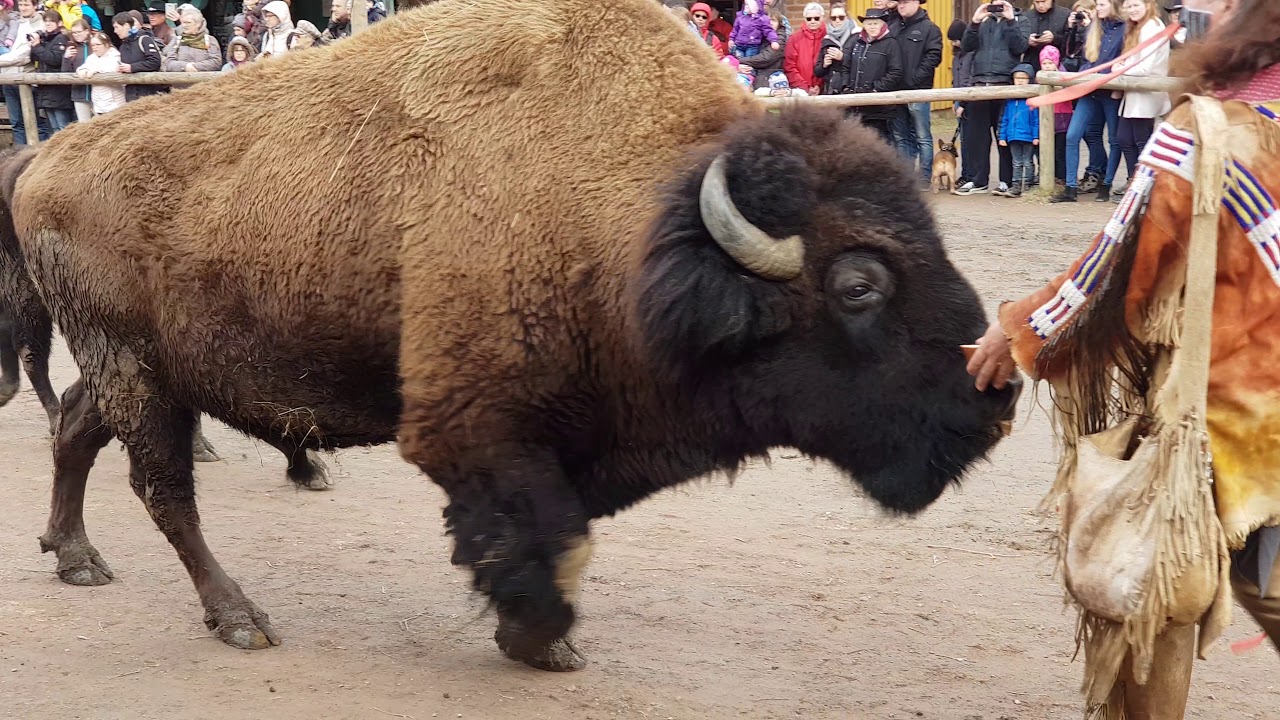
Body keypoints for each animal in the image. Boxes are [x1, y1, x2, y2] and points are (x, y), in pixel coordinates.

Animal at [3, 0, 1019, 671]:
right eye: (859, 285)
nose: (997, 391)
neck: (644, 221)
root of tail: (48, 158)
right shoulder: (473, 428)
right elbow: (541, 533)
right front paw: (541, 640)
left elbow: (557, 530)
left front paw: (540, 639)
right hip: (137, 372)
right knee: (163, 489)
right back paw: (239, 617)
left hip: (136, 368)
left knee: (78, 431)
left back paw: (77, 557)